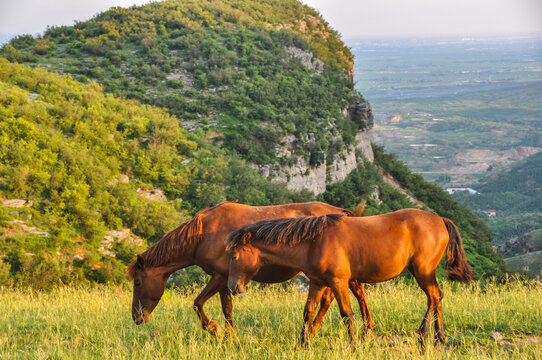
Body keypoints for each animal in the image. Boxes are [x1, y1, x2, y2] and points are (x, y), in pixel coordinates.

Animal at [128, 201, 376, 336]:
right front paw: (229, 337)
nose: (136, 317)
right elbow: (227, 309)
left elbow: (198, 304)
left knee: (349, 293)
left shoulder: (220, 276)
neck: (203, 233)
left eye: (138, 282)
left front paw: (215, 330)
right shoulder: (225, 280)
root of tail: (342, 213)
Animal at [227, 208, 474, 346]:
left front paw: (354, 344)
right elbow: (308, 312)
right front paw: (303, 342)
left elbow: (347, 314)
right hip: (423, 273)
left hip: (422, 272)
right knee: (437, 297)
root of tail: (440, 220)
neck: (313, 242)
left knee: (434, 297)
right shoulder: (317, 283)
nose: (232, 287)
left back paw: (424, 334)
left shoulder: (338, 282)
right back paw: (438, 336)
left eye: (235, 256)